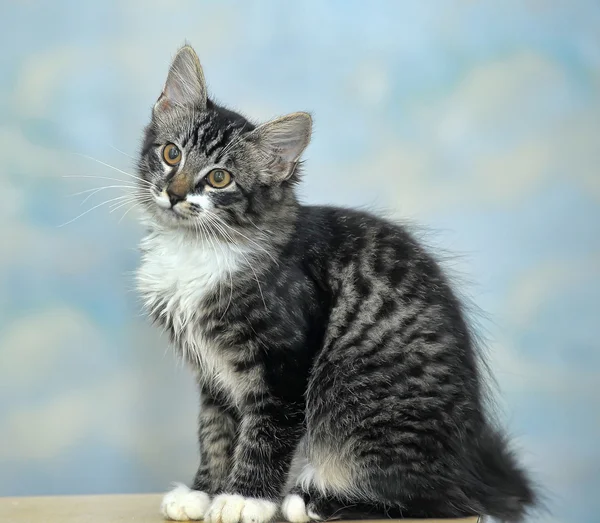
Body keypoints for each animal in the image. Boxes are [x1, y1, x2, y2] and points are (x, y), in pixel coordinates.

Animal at [135, 46, 536, 523]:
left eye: (219, 178)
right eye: (171, 154)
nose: (175, 194)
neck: (198, 247)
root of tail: (472, 466)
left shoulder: (284, 364)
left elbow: (264, 435)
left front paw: (245, 499)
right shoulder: (215, 376)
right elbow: (214, 433)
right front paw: (203, 492)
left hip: (363, 409)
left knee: (432, 499)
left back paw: (311, 499)